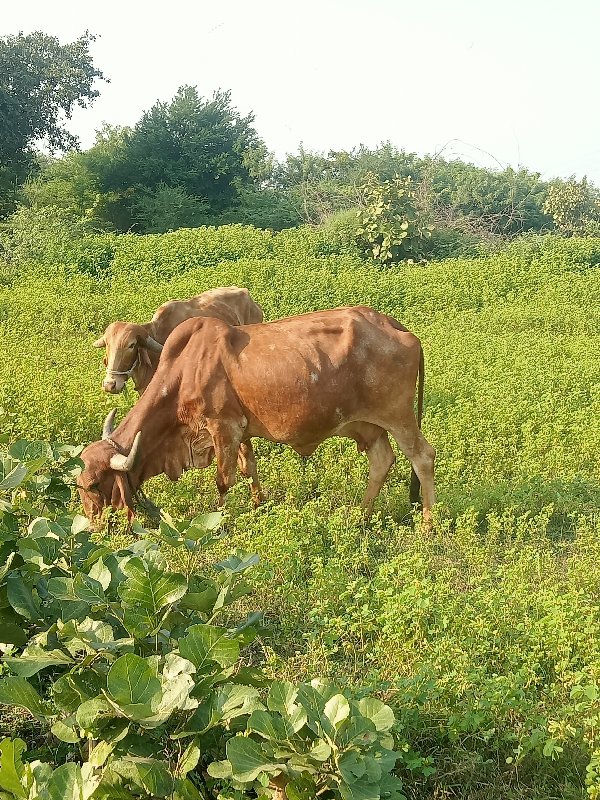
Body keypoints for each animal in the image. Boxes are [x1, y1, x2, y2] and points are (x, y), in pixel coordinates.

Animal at [78, 310, 436, 528]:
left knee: (423, 457)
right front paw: (258, 506)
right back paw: (361, 516)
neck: (183, 371)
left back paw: (427, 526)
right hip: (370, 426)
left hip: (399, 417)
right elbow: (248, 468)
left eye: (95, 485)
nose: (92, 524)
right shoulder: (241, 431)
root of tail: (400, 329)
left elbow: (224, 480)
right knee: (382, 460)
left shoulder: (223, 427)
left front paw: (218, 522)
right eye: (77, 484)